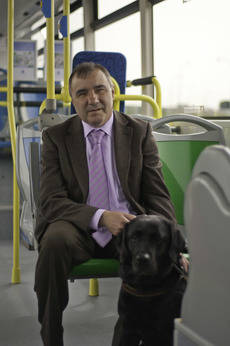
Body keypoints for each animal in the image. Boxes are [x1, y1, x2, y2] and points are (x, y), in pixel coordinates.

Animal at [111, 215, 187, 344]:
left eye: (158, 239)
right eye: (134, 238)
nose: (142, 259)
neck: (145, 288)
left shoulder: (164, 333)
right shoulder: (125, 327)